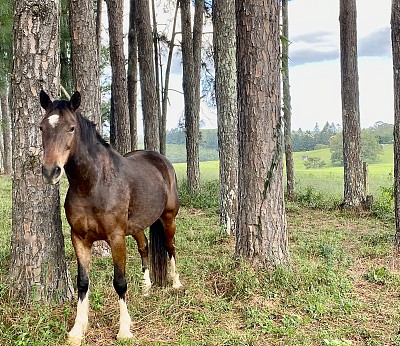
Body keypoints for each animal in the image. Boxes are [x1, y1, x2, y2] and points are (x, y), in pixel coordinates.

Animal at [38, 90, 182, 344]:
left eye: (71, 128)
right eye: (42, 127)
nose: (50, 171)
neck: (93, 185)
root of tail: (161, 160)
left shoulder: (116, 238)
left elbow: (120, 282)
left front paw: (124, 329)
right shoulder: (79, 239)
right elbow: (83, 282)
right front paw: (78, 329)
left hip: (168, 218)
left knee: (170, 246)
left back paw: (176, 283)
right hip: (137, 226)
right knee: (145, 248)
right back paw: (146, 287)